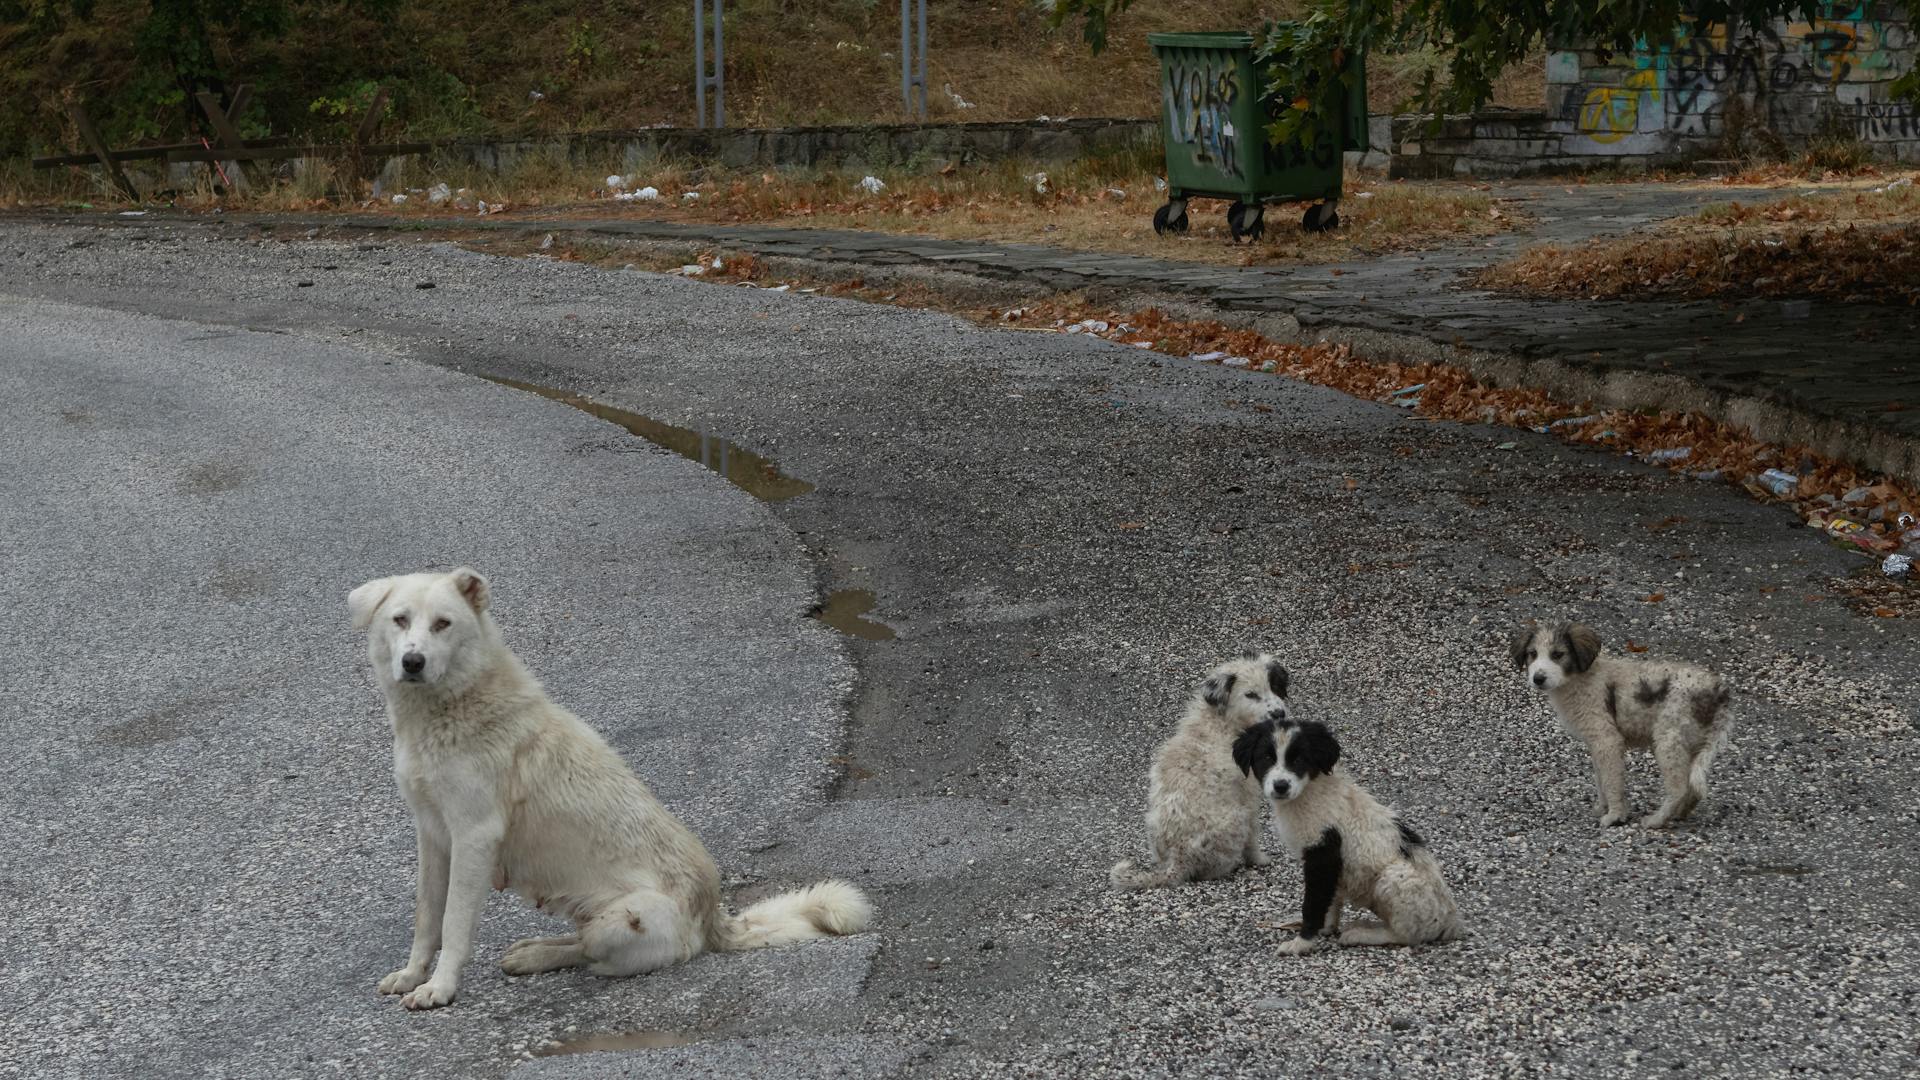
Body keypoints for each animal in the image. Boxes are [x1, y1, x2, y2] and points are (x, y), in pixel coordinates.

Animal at [349, 568, 875, 1006]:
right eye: (400, 620)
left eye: (443, 624)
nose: (412, 662)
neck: (451, 707)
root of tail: (714, 920)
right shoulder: (433, 836)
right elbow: (426, 919)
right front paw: (413, 975)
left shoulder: (474, 838)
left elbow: (454, 925)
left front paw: (440, 989)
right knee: (577, 943)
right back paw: (531, 950)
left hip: (621, 918)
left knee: (590, 953)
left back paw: (537, 956)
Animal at [1113, 653, 1290, 887]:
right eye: (1250, 695)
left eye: (1273, 687)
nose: (1280, 713)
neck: (1222, 722)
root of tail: (1179, 859)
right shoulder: (1248, 796)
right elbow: (1254, 837)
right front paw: (1260, 859)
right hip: (1236, 820)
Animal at [1236, 714, 1459, 949]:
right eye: (1266, 758)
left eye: (1299, 759)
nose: (1281, 786)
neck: (1309, 792)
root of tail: (1451, 922)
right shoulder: (1331, 865)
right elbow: (1330, 900)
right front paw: (1325, 928)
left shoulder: (1322, 855)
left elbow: (1313, 905)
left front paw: (1302, 943)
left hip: (1393, 879)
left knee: (1407, 935)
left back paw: (1364, 933)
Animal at [1512, 622, 1743, 822]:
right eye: (1532, 654)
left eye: (1558, 654)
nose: (1538, 679)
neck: (1582, 677)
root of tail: (1719, 691)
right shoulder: (1597, 745)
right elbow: (1601, 779)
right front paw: (1604, 808)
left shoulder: (1607, 740)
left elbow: (1611, 781)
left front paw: (1614, 816)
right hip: (1693, 742)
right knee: (1695, 788)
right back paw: (1679, 813)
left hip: (1669, 742)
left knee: (1679, 788)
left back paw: (1656, 820)